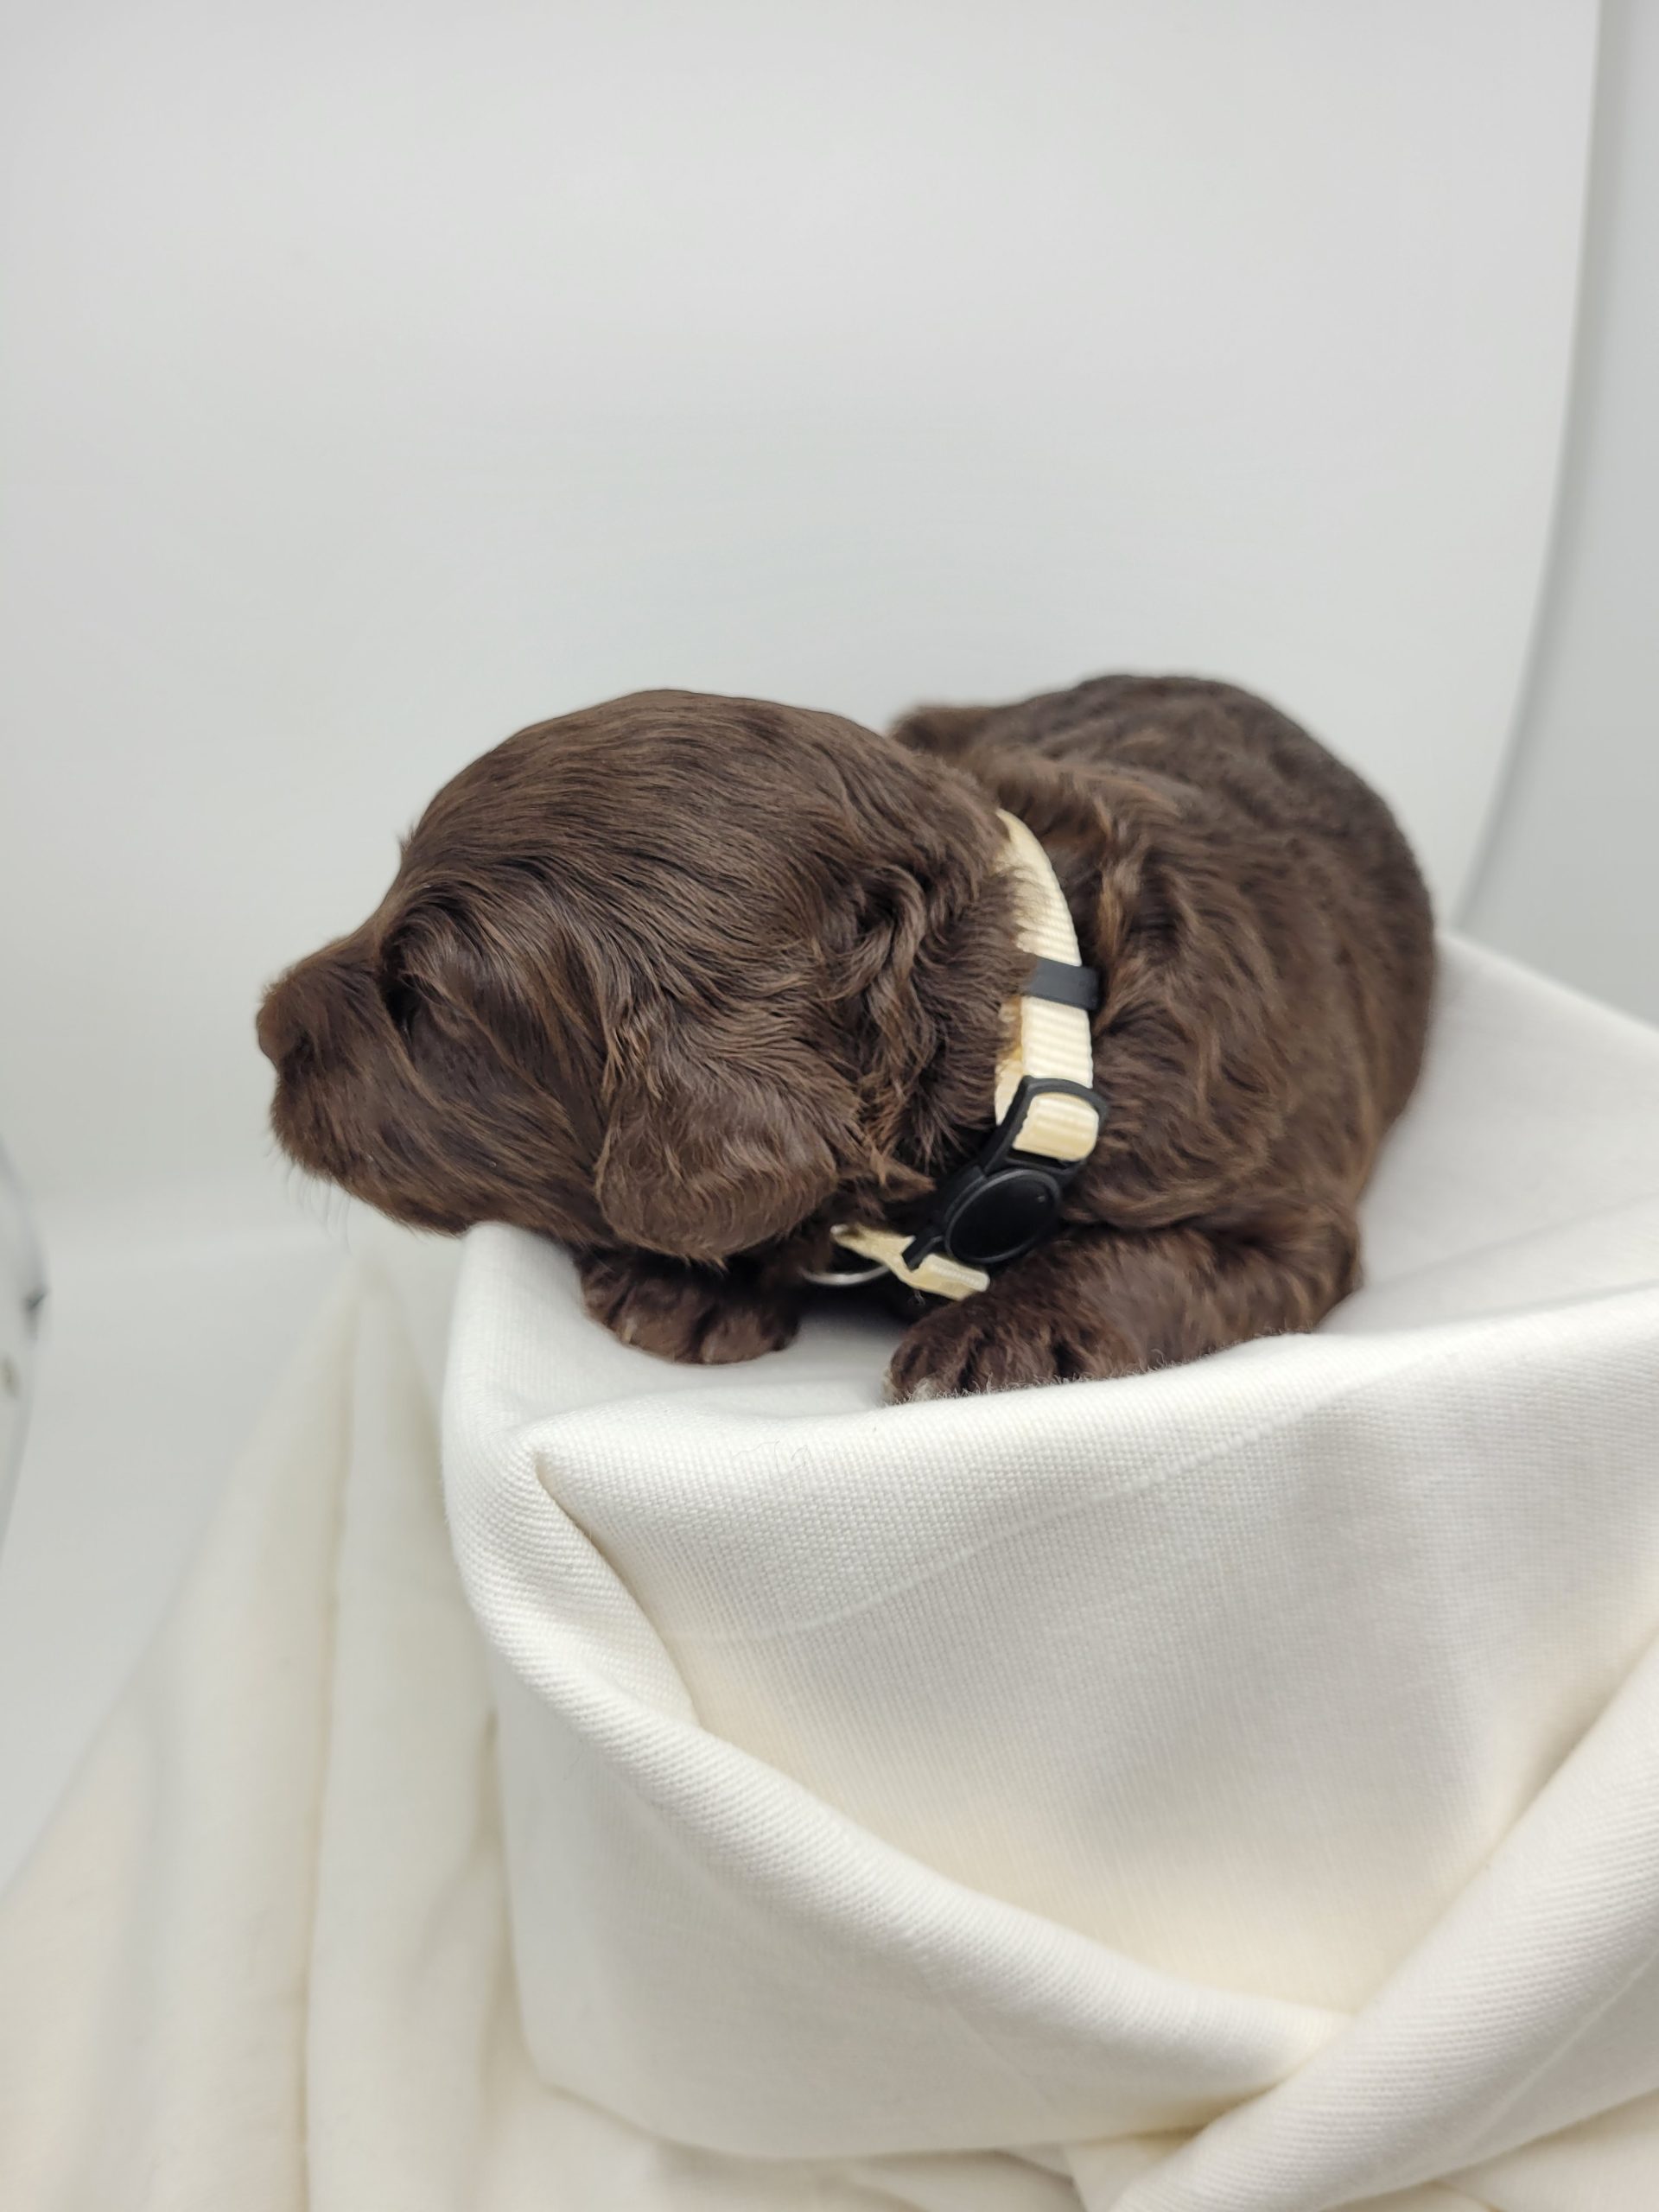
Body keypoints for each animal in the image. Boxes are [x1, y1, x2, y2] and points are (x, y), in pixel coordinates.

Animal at [258, 677, 1433, 1398]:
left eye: (421, 999)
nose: (264, 1026)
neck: (1036, 1029)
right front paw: (696, 1284)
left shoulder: (1288, 1215)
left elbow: (1148, 1257)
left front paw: (1006, 1332)